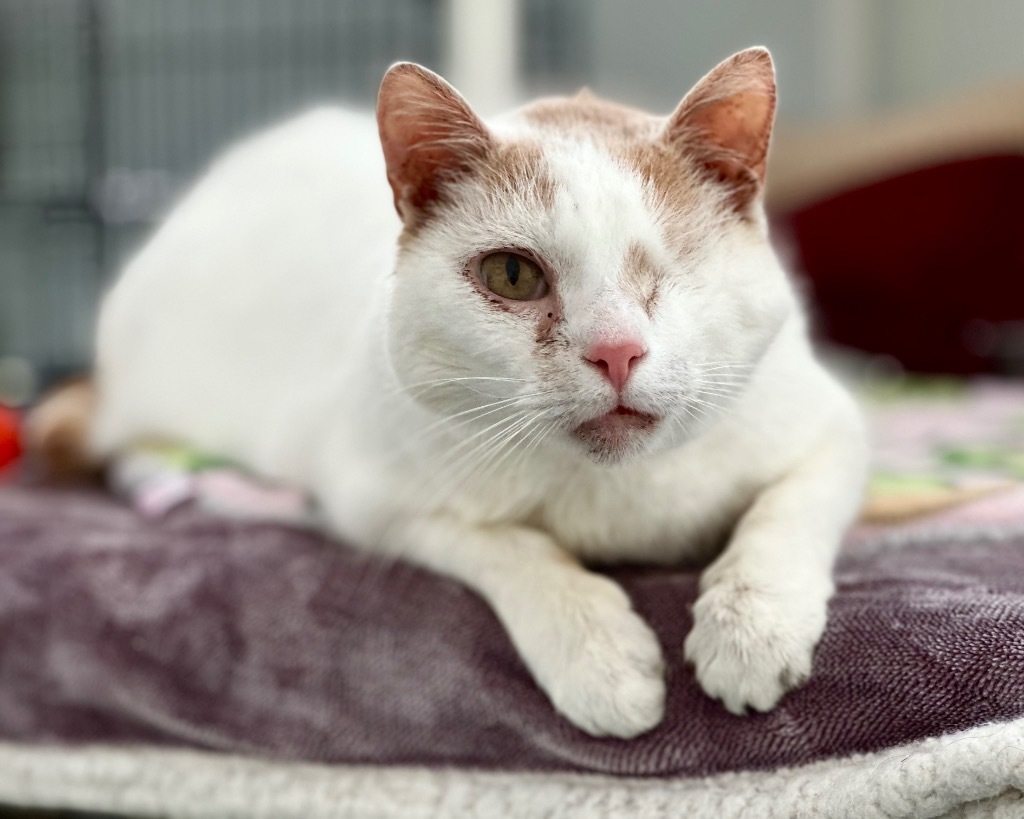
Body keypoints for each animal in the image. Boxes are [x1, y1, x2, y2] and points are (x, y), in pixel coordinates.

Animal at [70, 48, 864, 737]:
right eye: (512, 275)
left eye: (682, 266)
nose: (615, 351)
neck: (619, 499)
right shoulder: (377, 501)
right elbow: (511, 549)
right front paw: (600, 657)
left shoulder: (832, 428)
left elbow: (782, 516)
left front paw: (751, 629)